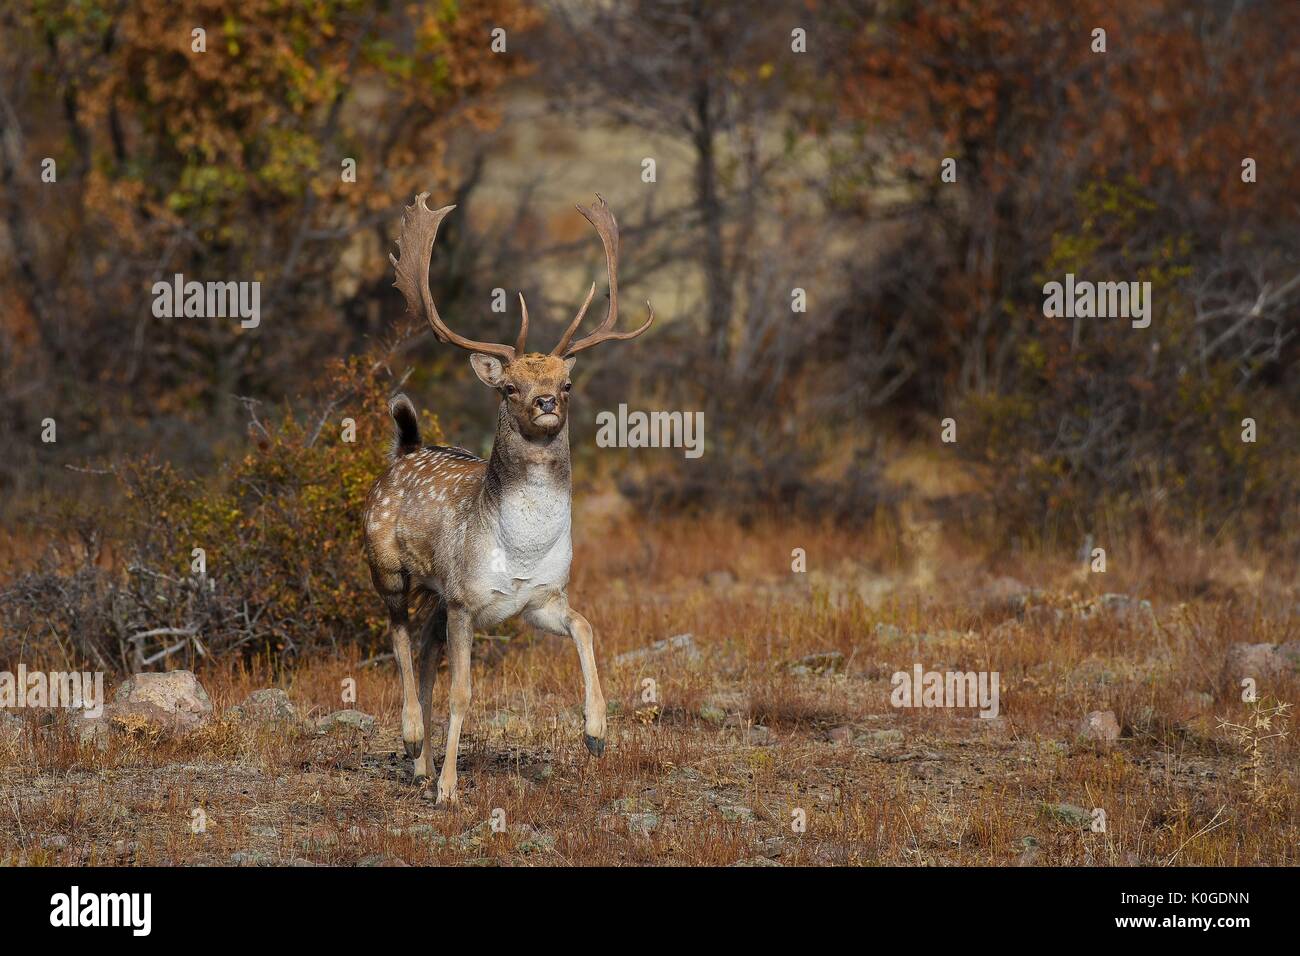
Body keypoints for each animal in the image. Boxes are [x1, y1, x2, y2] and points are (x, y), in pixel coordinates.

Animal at [364, 191, 650, 806]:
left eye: (567, 383)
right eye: (509, 386)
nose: (545, 402)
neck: (520, 549)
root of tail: (405, 450)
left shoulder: (538, 600)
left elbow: (586, 625)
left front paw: (596, 732)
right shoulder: (466, 600)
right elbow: (463, 693)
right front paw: (449, 790)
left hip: (434, 592)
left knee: (422, 649)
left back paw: (419, 763)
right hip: (388, 567)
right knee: (399, 639)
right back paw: (410, 738)